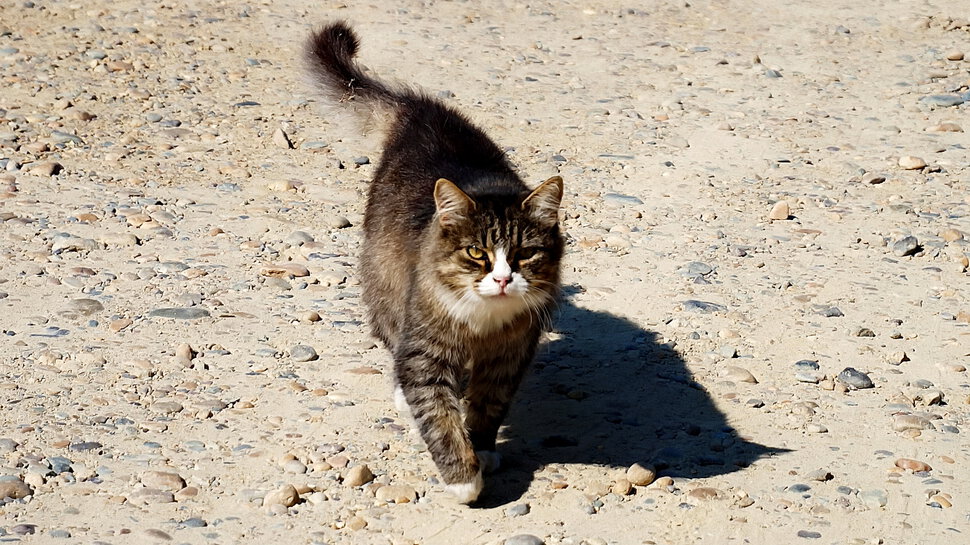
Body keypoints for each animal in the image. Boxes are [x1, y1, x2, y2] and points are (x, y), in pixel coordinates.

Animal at [300, 23, 560, 504]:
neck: (483, 322)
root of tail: (420, 108)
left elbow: (488, 406)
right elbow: (438, 415)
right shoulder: (425, 350)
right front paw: (462, 476)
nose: (502, 279)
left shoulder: (509, 356)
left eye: (523, 254)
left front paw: (482, 447)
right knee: (389, 334)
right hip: (386, 281)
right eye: (476, 253)